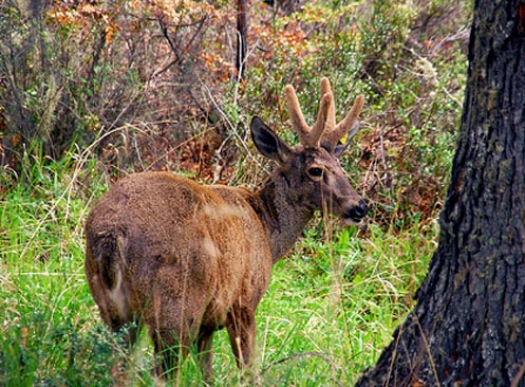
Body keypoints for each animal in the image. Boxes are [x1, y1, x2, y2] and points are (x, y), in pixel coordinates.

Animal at [84, 77, 366, 380]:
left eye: (339, 165)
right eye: (315, 170)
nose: (359, 207)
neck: (267, 229)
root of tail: (112, 234)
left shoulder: (208, 324)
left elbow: (207, 372)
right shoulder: (244, 301)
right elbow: (249, 369)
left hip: (111, 306)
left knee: (118, 365)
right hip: (175, 304)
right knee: (163, 371)